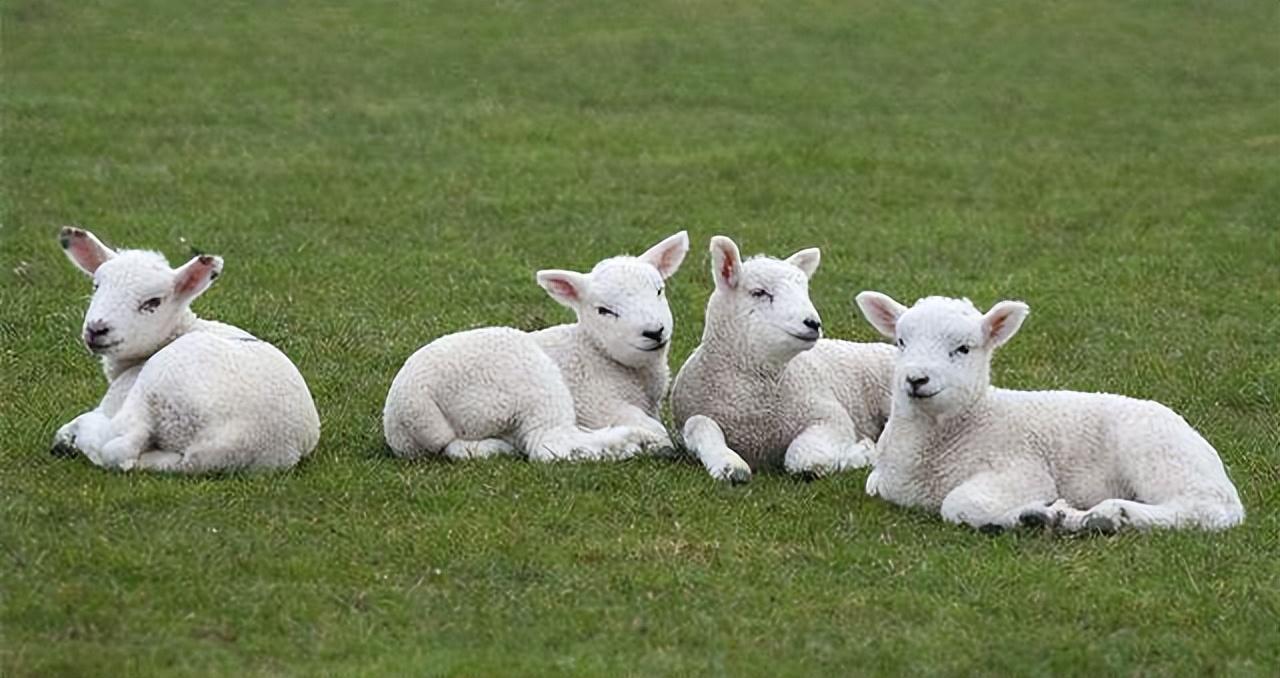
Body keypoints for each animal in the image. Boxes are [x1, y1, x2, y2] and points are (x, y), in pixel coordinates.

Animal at [381, 230, 691, 457]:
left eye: (659, 290)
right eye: (604, 310)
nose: (654, 332)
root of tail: (411, 408)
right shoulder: (596, 401)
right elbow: (655, 427)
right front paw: (653, 438)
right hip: (528, 380)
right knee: (550, 444)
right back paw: (631, 442)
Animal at [670, 236, 901, 480]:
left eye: (804, 291)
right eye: (759, 292)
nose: (813, 323)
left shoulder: (830, 416)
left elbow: (805, 459)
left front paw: (862, 453)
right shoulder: (695, 417)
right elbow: (700, 425)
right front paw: (729, 465)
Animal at [855, 292, 1244, 529]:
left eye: (963, 349)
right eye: (901, 342)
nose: (916, 379)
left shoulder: (1022, 469)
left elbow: (959, 504)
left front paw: (1037, 515)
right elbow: (873, 484)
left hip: (1158, 454)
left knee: (1203, 507)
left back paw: (1114, 514)